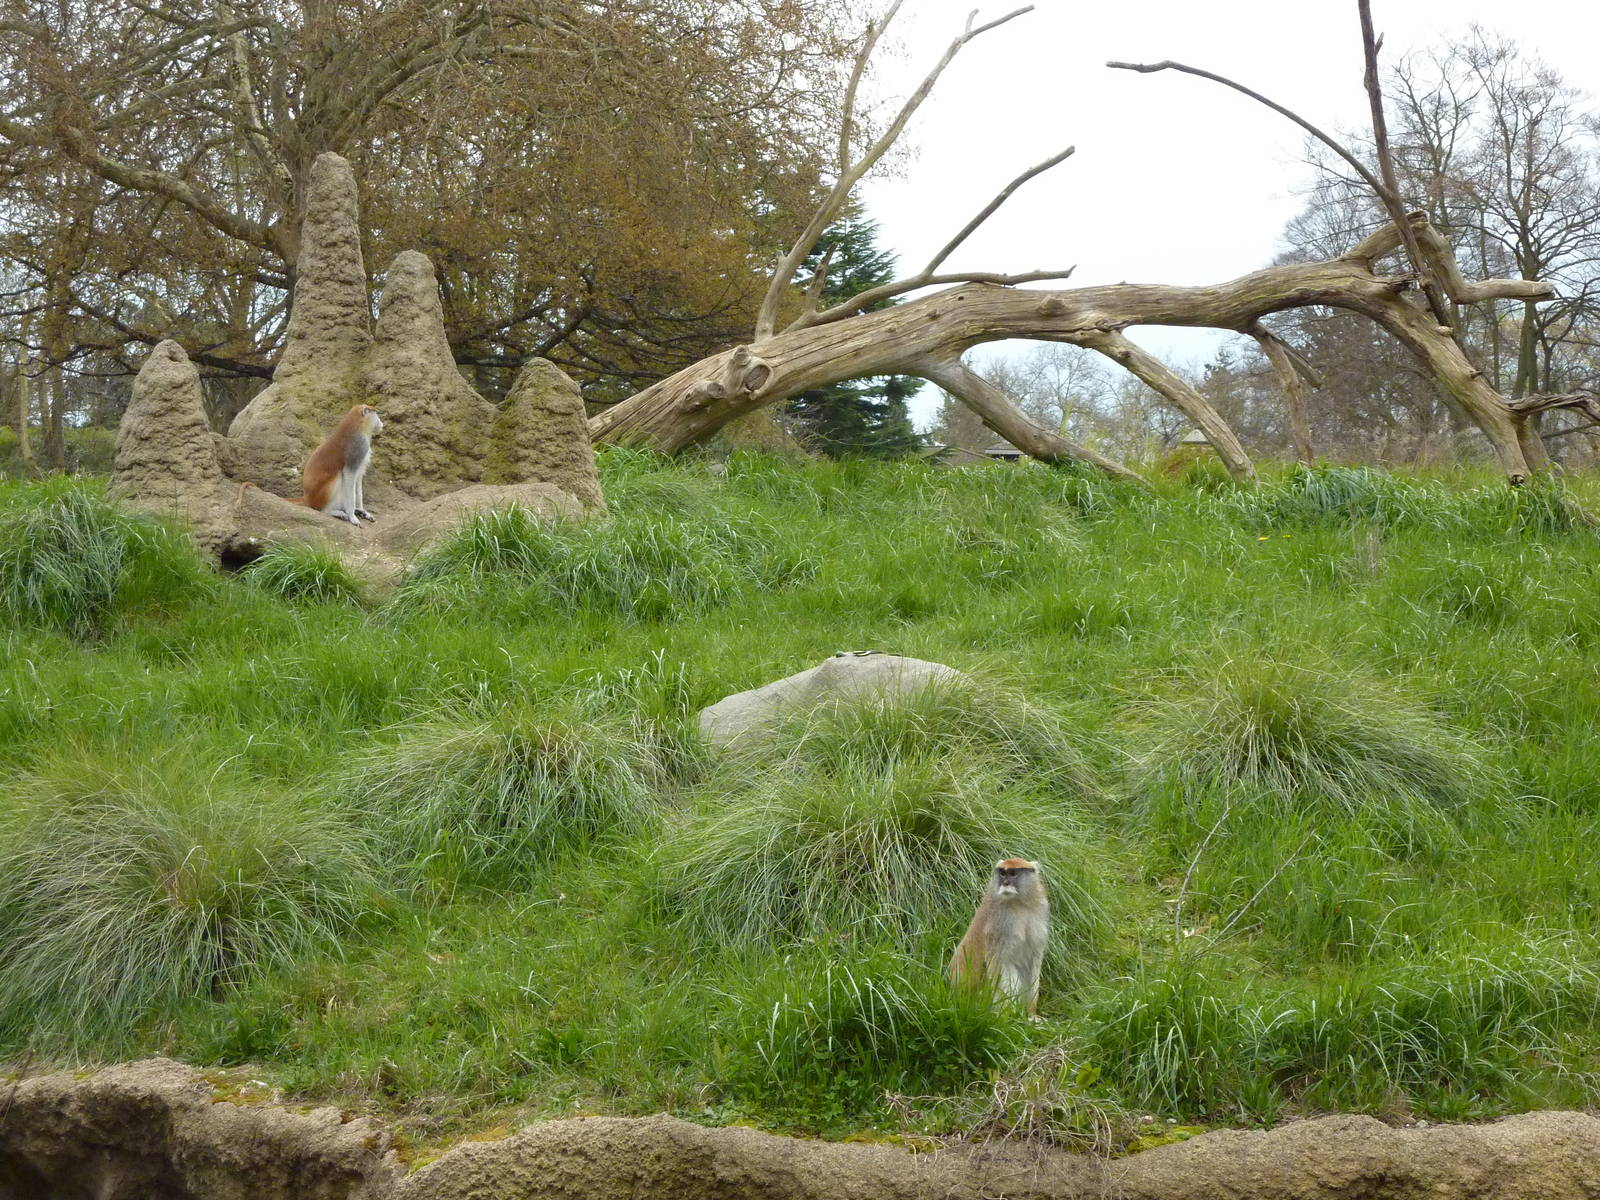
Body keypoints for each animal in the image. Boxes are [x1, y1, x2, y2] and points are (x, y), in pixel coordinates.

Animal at [949, 858, 1050, 1016]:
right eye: (1002, 873)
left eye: (1013, 873)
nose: (1005, 883)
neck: (1019, 903)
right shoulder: (999, 924)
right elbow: (998, 962)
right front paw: (1006, 1014)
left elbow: (1034, 959)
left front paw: (1032, 1013)